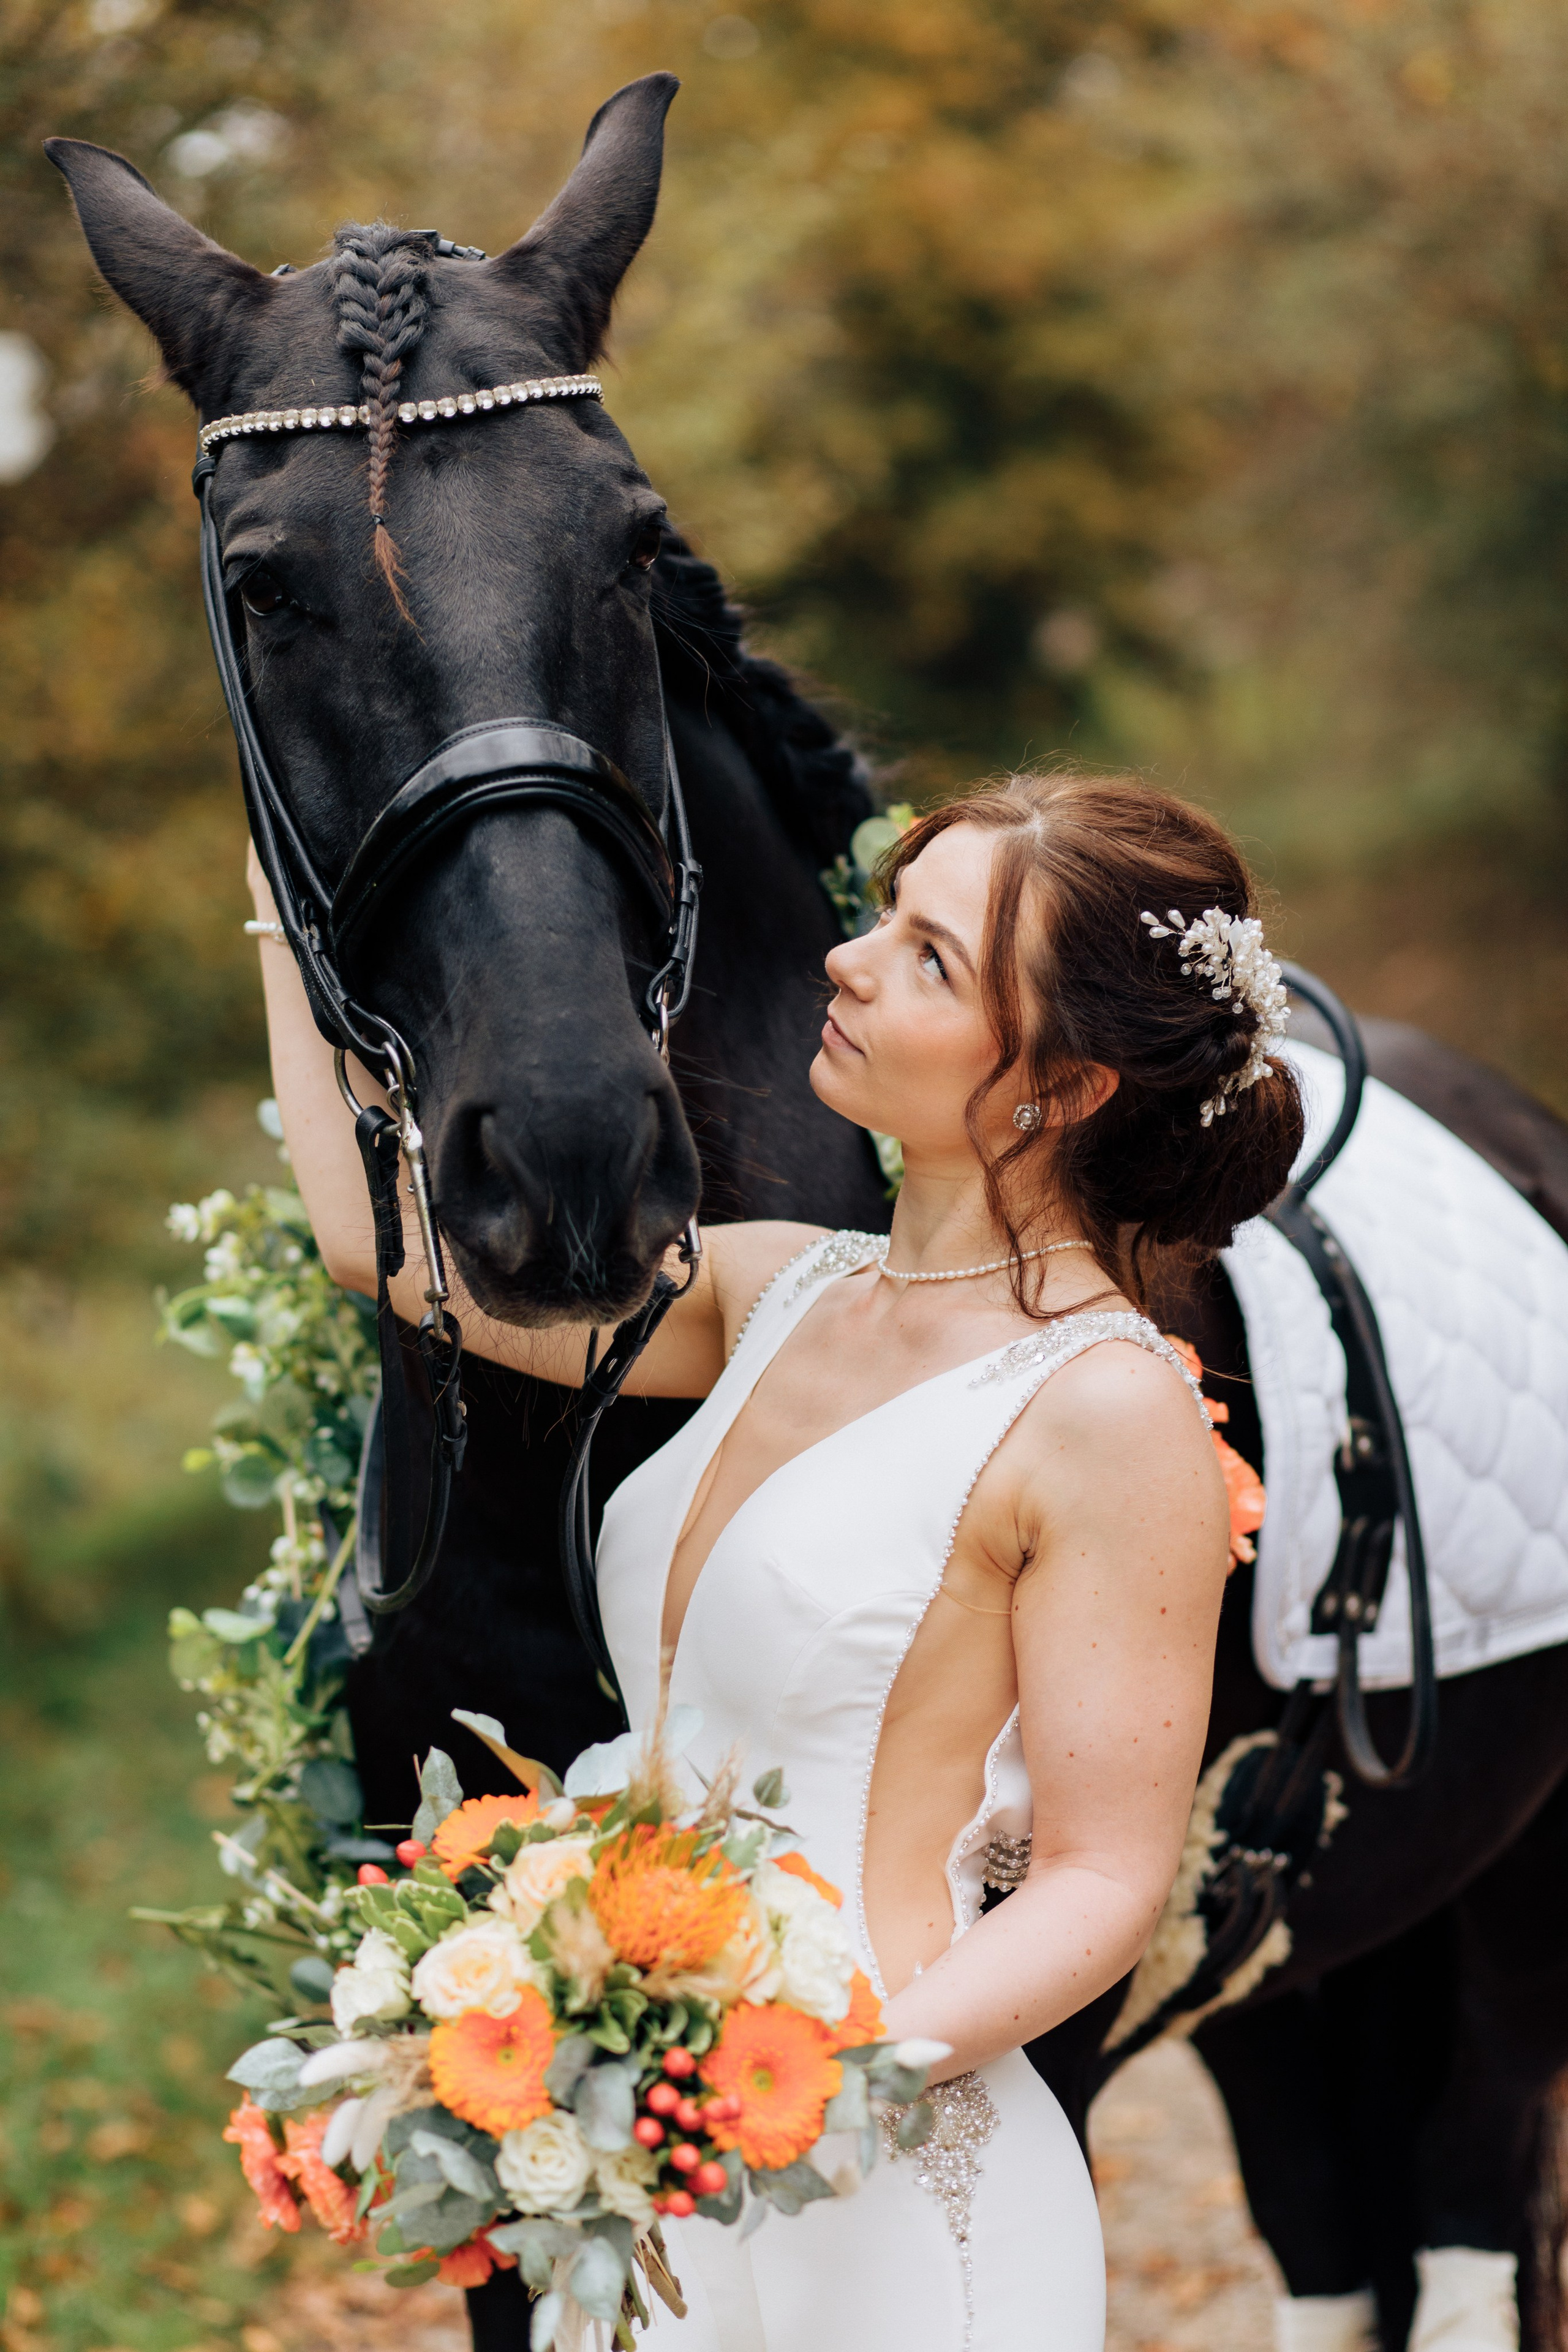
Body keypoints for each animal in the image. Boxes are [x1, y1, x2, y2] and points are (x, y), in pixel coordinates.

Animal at [47, 75, 1568, 2352]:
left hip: (1507, 1936)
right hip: (1307, 1993)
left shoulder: (1050, 2018)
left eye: (628, 541)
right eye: (265, 584)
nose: (567, 1164)